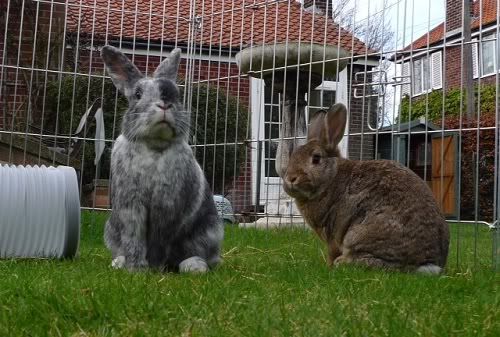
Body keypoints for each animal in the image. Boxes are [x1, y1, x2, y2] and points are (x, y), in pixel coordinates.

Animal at [101, 44, 223, 272]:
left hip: (209, 233)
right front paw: (136, 269)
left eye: (178, 93)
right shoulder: (131, 206)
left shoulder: (167, 206)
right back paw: (118, 262)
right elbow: (134, 238)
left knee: (202, 258)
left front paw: (154, 268)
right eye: (138, 94)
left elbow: (159, 241)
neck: (154, 145)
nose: (165, 103)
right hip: (111, 229)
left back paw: (194, 267)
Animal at [284, 102, 452, 272]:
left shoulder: (331, 234)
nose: (290, 179)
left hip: (358, 236)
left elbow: (331, 252)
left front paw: (328, 266)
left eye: (316, 158)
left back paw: (341, 262)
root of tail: (428, 263)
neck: (331, 177)